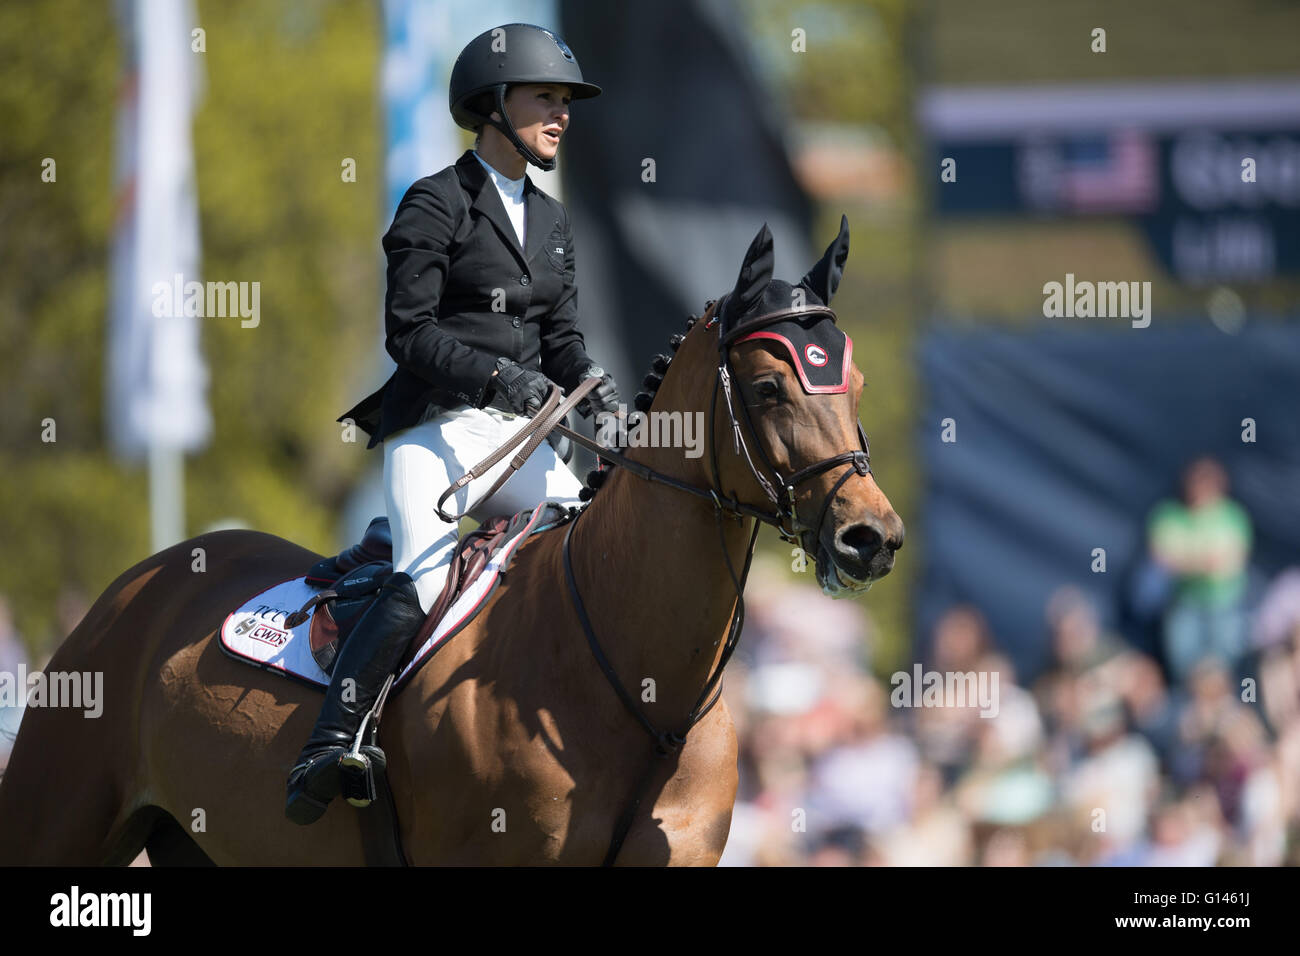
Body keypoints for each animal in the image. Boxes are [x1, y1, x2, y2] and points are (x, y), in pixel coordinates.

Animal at [0, 218, 904, 868]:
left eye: (854, 384)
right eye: (769, 386)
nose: (872, 538)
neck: (640, 684)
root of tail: (141, 585)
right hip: (54, 825)